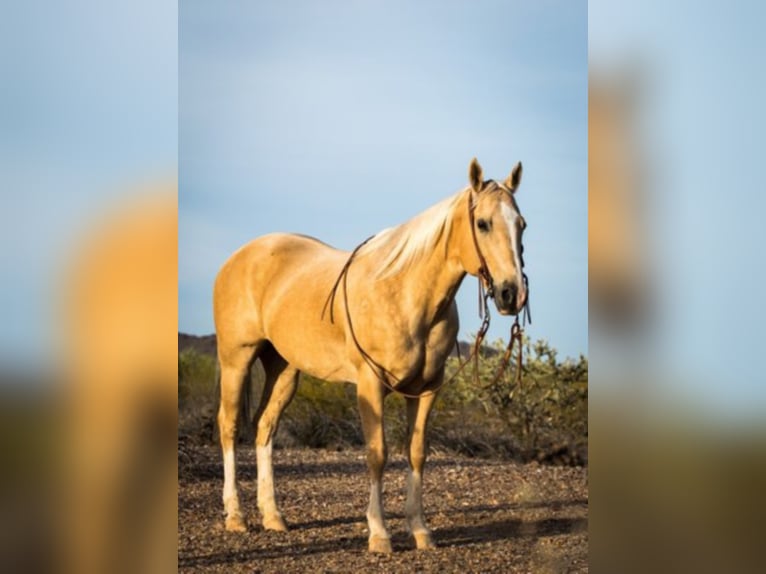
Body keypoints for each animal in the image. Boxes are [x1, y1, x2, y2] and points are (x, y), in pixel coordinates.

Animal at [216, 158, 528, 552]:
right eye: (483, 223)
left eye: (521, 224)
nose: (511, 295)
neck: (406, 295)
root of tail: (239, 257)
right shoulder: (370, 385)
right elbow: (377, 453)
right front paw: (379, 533)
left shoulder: (428, 388)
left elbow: (416, 452)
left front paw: (420, 530)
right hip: (236, 360)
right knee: (229, 426)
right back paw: (236, 516)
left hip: (283, 369)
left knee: (264, 427)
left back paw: (273, 516)